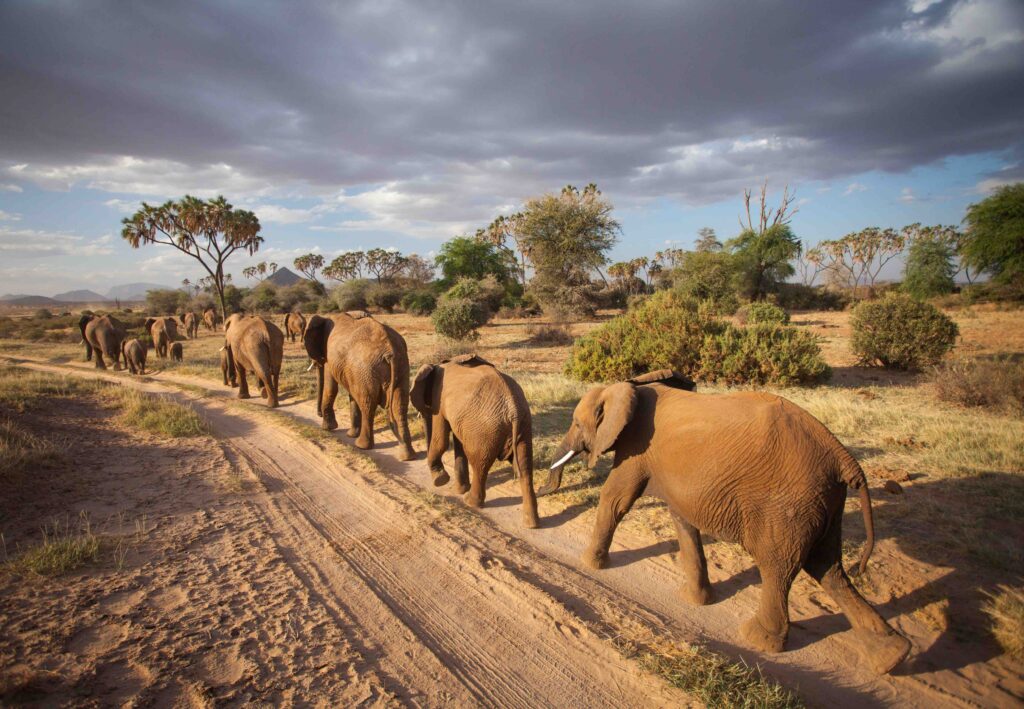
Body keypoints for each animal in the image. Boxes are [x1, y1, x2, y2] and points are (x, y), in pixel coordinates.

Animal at [303, 311, 415, 459]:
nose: (318, 414)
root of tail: (390, 351)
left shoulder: (330, 357)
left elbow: (331, 388)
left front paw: (328, 428)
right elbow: (352, 395)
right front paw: (350, 434)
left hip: (366, 369)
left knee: (368, 405)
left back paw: (361, 445)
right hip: (400, 367)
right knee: (399, 406)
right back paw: (407, 456)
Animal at [407, 354, 540, 524]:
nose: (437, 475)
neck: (437, 365)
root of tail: (513, 410)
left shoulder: (439, 398)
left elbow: (441, 440)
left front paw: (440, 480)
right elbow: (458, 443)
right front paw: (456, 487)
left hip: (484, 432)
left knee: (479, 465)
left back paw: (470, 501)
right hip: (523, 425)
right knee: (524, 466)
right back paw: (531, 523)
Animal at [544, 370, 913, 676]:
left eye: (576, 424)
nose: (548, 490)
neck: (630, 386)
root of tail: (843, 458)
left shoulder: (637, 448)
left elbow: (616, 498)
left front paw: (589, 564)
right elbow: (681, 518)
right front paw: (696, 600)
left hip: (789, 504)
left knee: (779, 566)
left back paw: (758, 639)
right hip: (825, 502)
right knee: (829, 568)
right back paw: (893, 658)